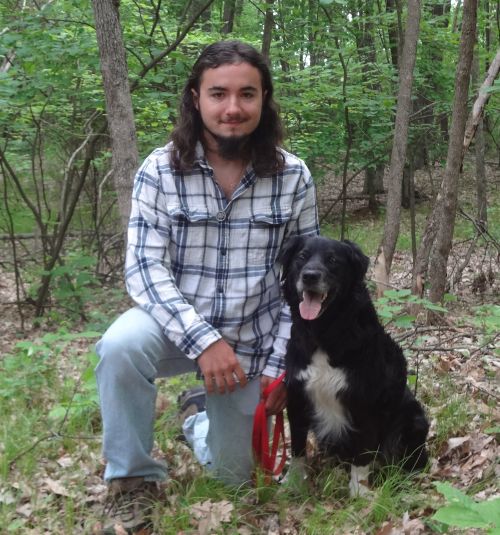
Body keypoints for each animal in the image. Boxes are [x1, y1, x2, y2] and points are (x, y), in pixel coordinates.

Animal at [280, 237, 428, 496]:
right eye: (302, 257)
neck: (324, 332)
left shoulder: (365, 403)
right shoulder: (296, 396)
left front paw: (359, 492)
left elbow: (363, 453)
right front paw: (293, 481)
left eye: (332, 259)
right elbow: (297, 446)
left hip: (414, 420)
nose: (310, 276)